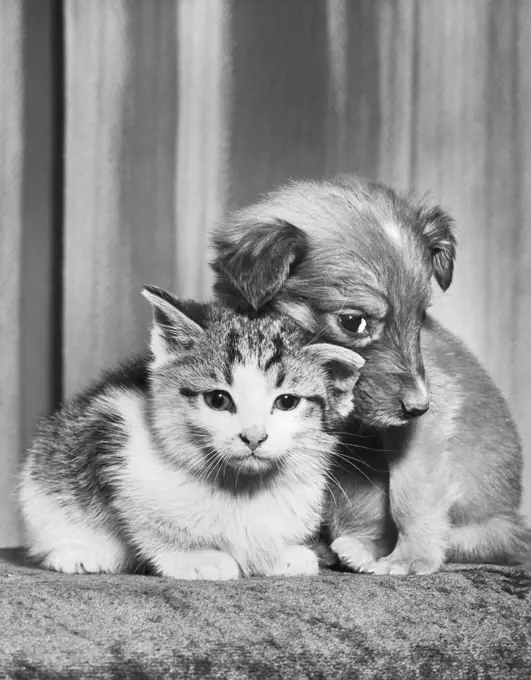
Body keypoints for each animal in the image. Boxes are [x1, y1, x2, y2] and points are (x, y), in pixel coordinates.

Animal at [17, 286, 366, 580]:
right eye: (218, 399)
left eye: (287, 402)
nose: (253, 437)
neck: (240, 486)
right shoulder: (114, 431)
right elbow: (146, 524)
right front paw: (195, 558)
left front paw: (278, 555)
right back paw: (78, 553)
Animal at [210, 174, 528, 572]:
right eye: (353, 322)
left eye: (421, 317)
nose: (418, 406)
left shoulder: (425, 427)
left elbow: (410, 494)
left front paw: (411, 558)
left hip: (488, 530)